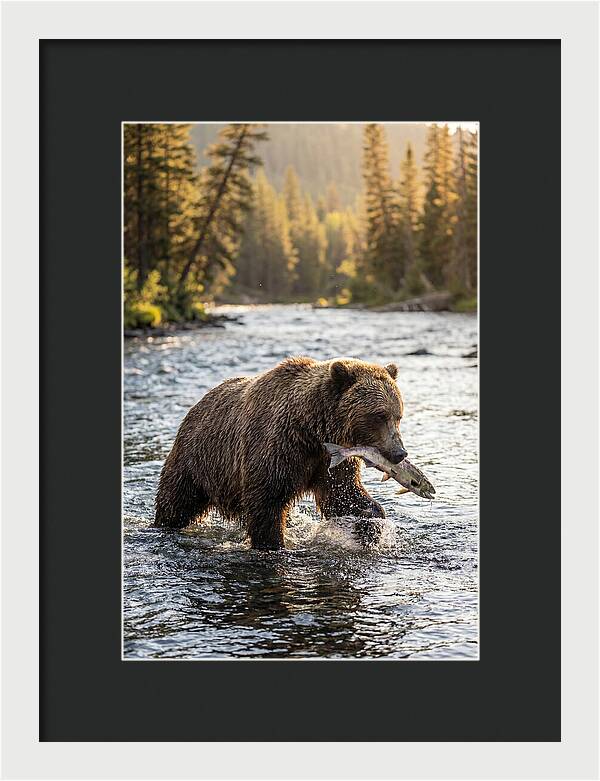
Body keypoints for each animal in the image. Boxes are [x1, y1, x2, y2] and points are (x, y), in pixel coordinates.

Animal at [154, 356, 408, 550]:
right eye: (379, 415)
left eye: (398, 415)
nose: (400, 453)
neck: (311, 430)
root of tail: (196, 405)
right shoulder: (278, 447)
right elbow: (266, 502)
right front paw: (272, 543)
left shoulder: (330, 459)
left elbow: (342, 494)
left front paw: (371, 524)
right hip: (197, 460)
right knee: (176, 501)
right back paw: (163, 525)